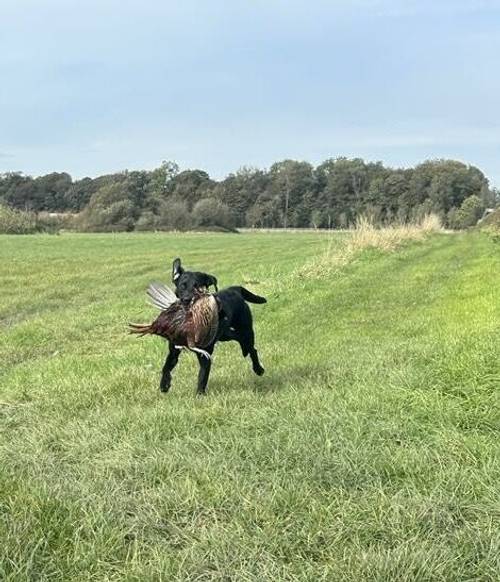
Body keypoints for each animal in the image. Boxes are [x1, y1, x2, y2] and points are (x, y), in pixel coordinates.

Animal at [161, 260, 268, 396]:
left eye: (199, 287)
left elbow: (202, 376)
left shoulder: (204, 356)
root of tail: (234, 289)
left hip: (246, 330)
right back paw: (245, 350)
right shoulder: (173, 351)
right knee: (239, 338)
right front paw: (164, 385)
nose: (187, 299)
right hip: (225, 334)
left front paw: (199, 395)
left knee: (252, 349)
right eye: (182, 286)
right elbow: (166, 367)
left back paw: (258, 369)